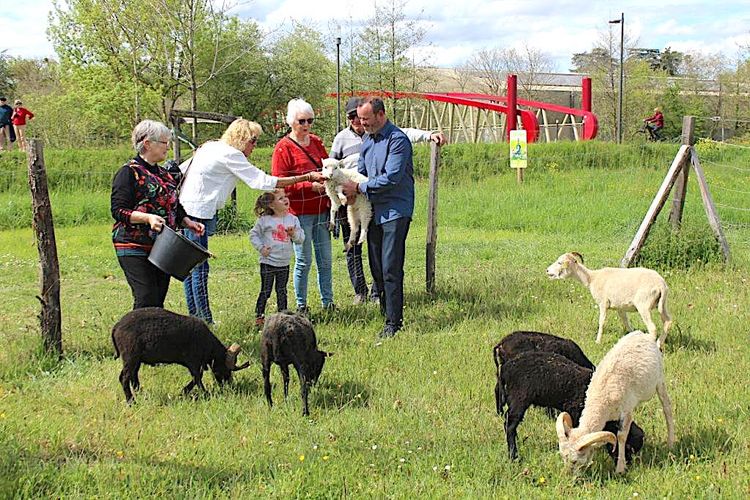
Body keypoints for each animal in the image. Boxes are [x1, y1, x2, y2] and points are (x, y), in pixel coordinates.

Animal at [111, 306, 251, 404]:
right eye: (225, 369)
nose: (228, 386)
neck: (207, 342)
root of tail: (116, 326)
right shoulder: (193, 361)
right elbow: (197, 377)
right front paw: (204, 394)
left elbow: (196, 377)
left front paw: (183, 392)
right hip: (130, 357)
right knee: (124, 378)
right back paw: (131, 402)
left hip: (135, 360)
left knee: (133, 377)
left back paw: (141, 395)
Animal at [548, 250, 676, 348]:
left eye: (559, 262)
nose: (547, 270)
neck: (592, 278)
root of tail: (661, 285)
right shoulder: (620, 307)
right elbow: (626, 322)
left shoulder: (603, 303)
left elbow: (602, 322)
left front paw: (598, 341)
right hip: (662, 304)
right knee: (668, 322)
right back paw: (659, 344)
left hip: (643, 304)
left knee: (653, 328)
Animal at [560, 330, 676, 474]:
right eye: (563, 457)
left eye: (575, 461)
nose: (566, 476)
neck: (601, 400)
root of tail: (642, 334)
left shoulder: (626, 410)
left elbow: (621, 436)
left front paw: (620, 468)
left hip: (659, 380)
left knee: (667, 408)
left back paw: (671, 443)